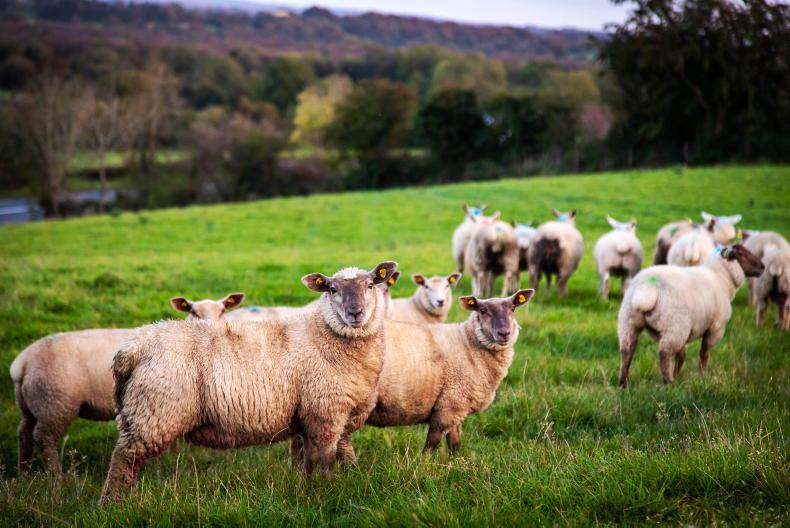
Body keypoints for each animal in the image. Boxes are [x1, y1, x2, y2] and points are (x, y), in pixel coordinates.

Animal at [9, 293, 244, 475]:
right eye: (194, 312)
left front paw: (172, 456)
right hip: (55, 403)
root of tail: (23, 362)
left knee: (24, 433)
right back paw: (56, 478)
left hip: (33, 405)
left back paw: (24, 473)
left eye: (223, 310)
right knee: (44, 439)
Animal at [99, 262, 397, 503]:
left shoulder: (322, 414)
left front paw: (320, 483)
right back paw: (111, 505)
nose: (355, 313)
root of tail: (134, 347)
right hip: (155, 412)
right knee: (123, 458)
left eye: (370, 285)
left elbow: (324, 455)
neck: (326, 335)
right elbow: (326, 456)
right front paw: (329, 490)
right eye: (332, 289)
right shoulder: (326, 411)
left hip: (137, 412)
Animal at [292, 288, 535, 463]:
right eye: (482, 311)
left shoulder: (455, 405)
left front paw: (456, 464)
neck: (468, 344)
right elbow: (432, 443)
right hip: (334, 398)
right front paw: (424, 466)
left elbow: (454, 442)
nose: (504, 333)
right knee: (337, 438)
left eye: (513, 309)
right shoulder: (449, 406)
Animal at [617, 245, 764, 387]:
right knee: (664, 353)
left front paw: (678, 375)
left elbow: (682, 355)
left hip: (629, 322)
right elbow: (704, 353)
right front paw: (702, 377)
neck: (721, 278)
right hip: (674, 327)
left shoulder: (687, 332)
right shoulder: (715, 328)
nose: (762, 266)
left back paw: (624, 383)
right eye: (741, 254)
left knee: (627, 350)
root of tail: (647, 287)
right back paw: (669, 383)